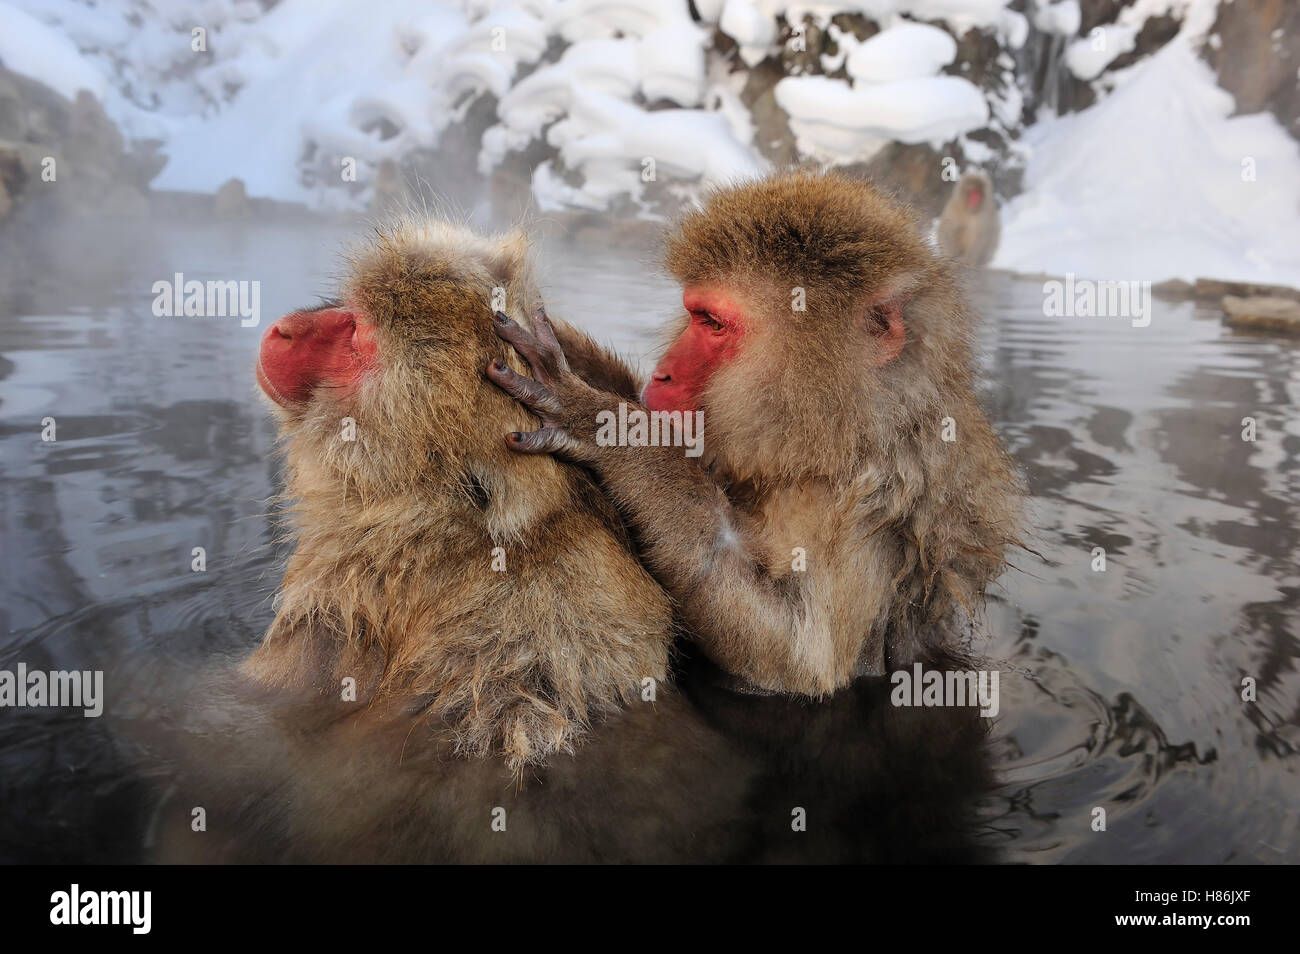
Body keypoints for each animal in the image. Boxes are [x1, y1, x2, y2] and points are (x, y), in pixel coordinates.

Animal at [487, 169, 1024, 698]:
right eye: (694, 314)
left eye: (714, 324)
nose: (661, 375)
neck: (835, 435)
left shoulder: (867, 504)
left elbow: (799, 662)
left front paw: (611, 428)